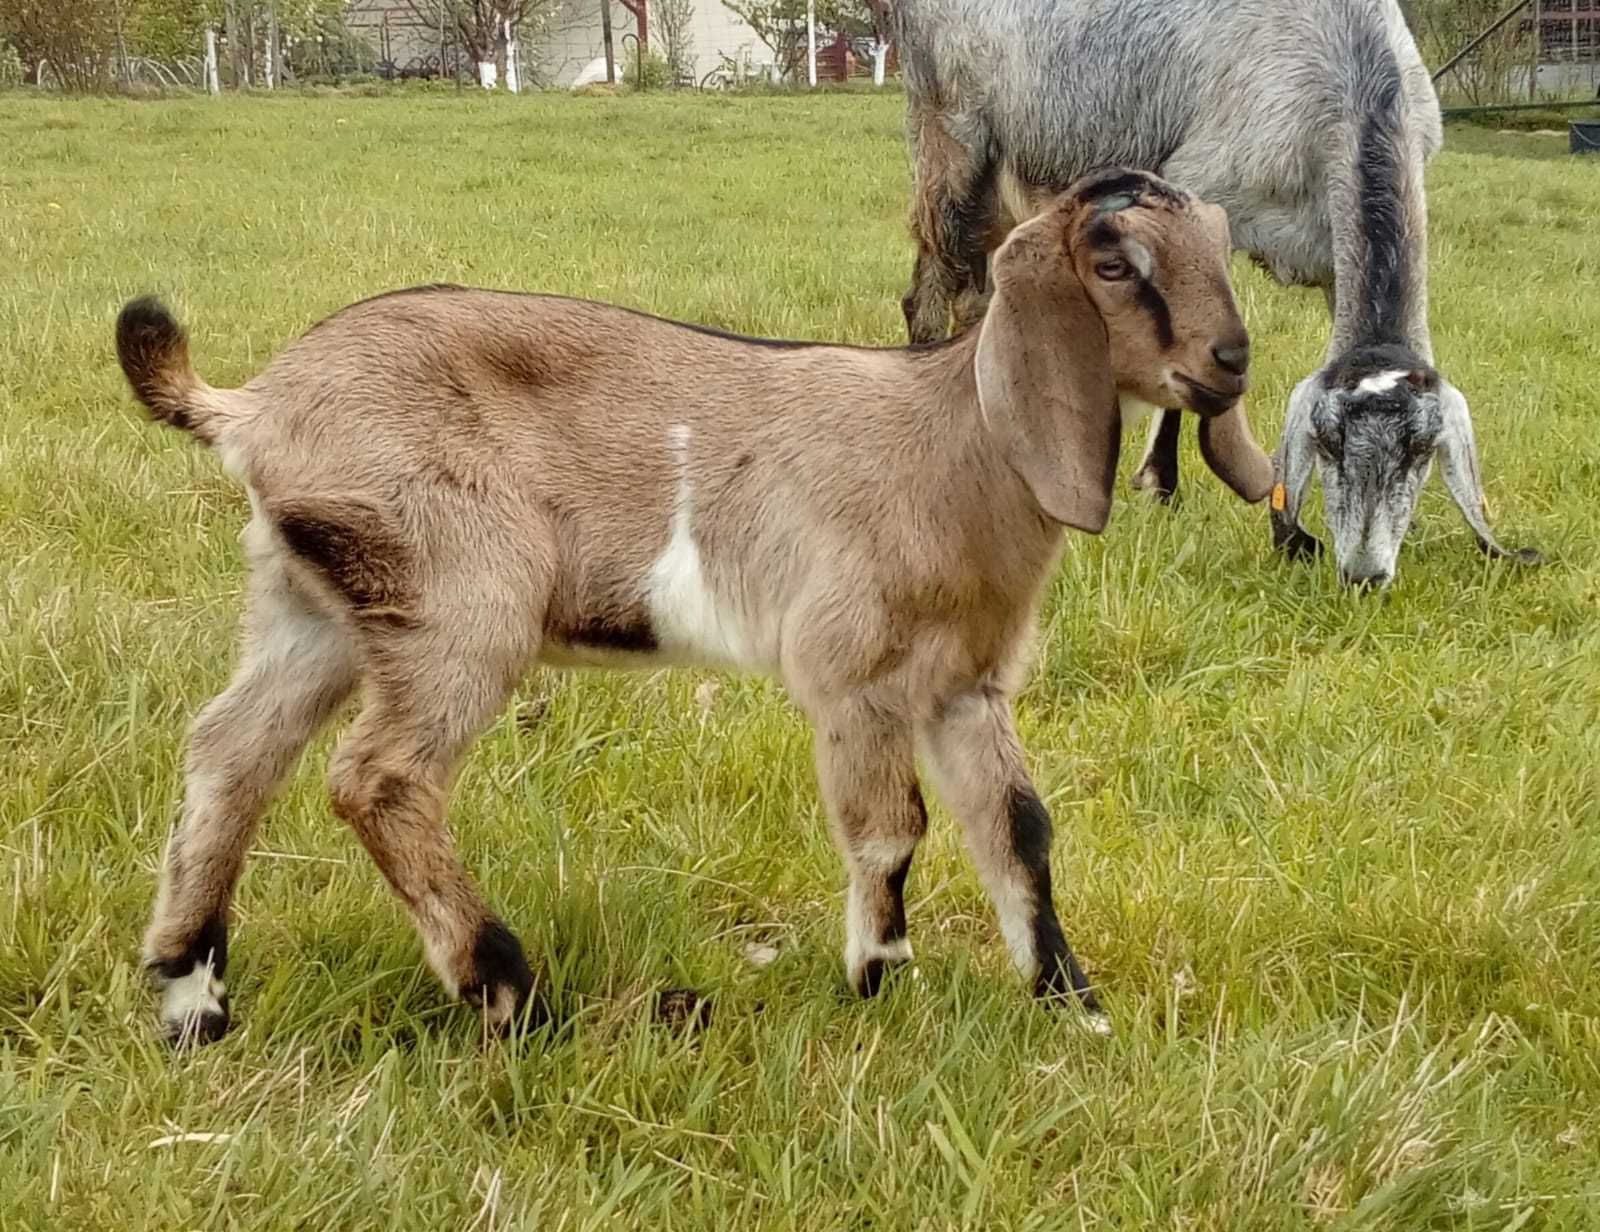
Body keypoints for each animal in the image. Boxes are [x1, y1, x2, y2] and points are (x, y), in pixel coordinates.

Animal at [896, 0, 1542, 582]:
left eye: (1419, 452)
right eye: (1327, 442)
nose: (1363, 574)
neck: (1347, 65)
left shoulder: (1338, 260)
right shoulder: (1198, 194)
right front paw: (1160, 483)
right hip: (953, 138)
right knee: (930, 290)